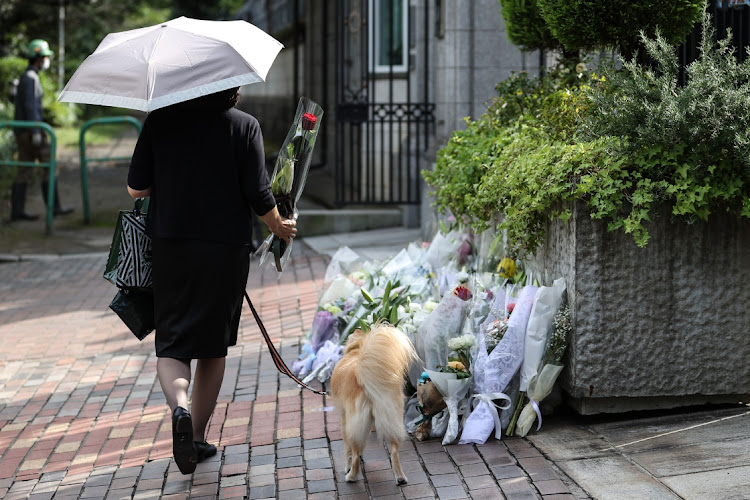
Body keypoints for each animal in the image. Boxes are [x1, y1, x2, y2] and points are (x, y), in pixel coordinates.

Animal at [332, 324, 420, 484]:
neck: (357, 350)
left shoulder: (344, 418)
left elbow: (347, 449)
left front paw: (347, 466)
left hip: (355, 423)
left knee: (354, 453)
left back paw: (351, 476)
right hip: (392, 418)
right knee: (394, 451)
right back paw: (400, 478)